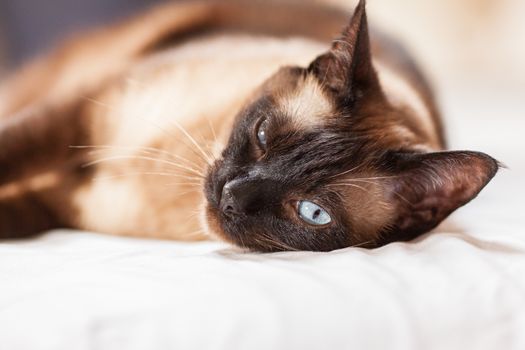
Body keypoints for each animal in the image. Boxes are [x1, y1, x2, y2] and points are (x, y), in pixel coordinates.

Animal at [0, 0, 498, 252]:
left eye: (312, 213)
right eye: (262, 135)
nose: (230, 196)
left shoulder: (60, 206)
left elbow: (15, 217)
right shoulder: (80, 114)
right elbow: (13, 149)